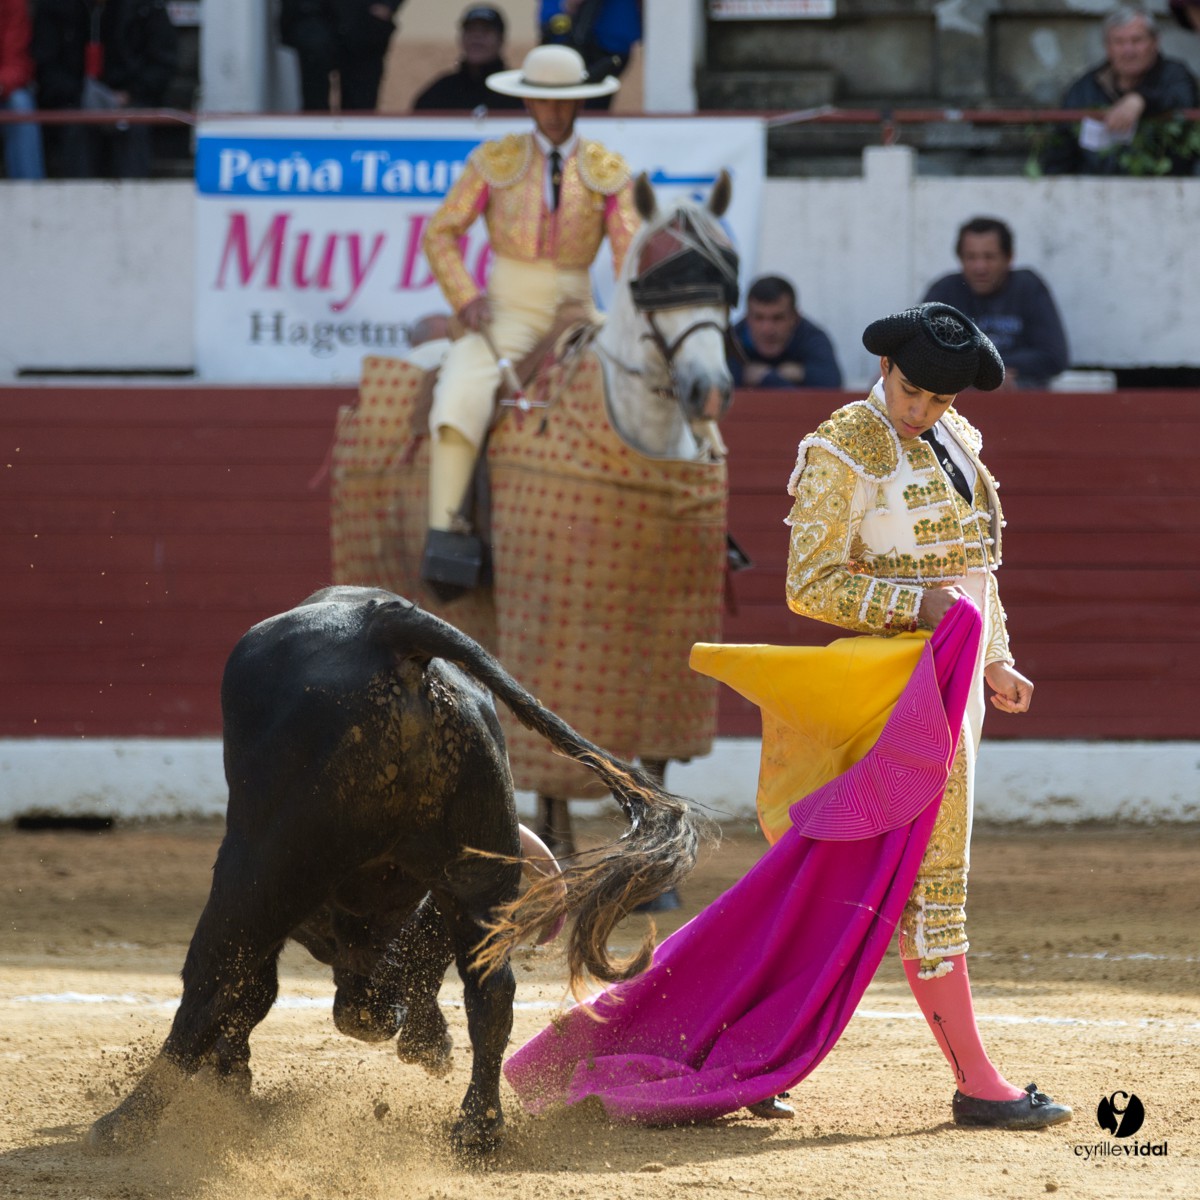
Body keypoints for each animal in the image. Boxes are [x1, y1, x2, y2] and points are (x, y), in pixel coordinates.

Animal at [86, 586, 699, 1158]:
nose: (379, 1015)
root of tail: (390, 626)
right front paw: (427, 1045)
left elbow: (249, 991)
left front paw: (229, 1081)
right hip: (477, 866)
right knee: (492, 992)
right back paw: (476, 1130)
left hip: (256, 866)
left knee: (213, 978)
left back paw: (124, 1123)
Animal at [329, 172, 739, 862]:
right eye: (650, 284)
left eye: (725, 282)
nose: (707, 390)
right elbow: (565, 745)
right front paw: (565, 846)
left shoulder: (670, 658)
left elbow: (652, 758)